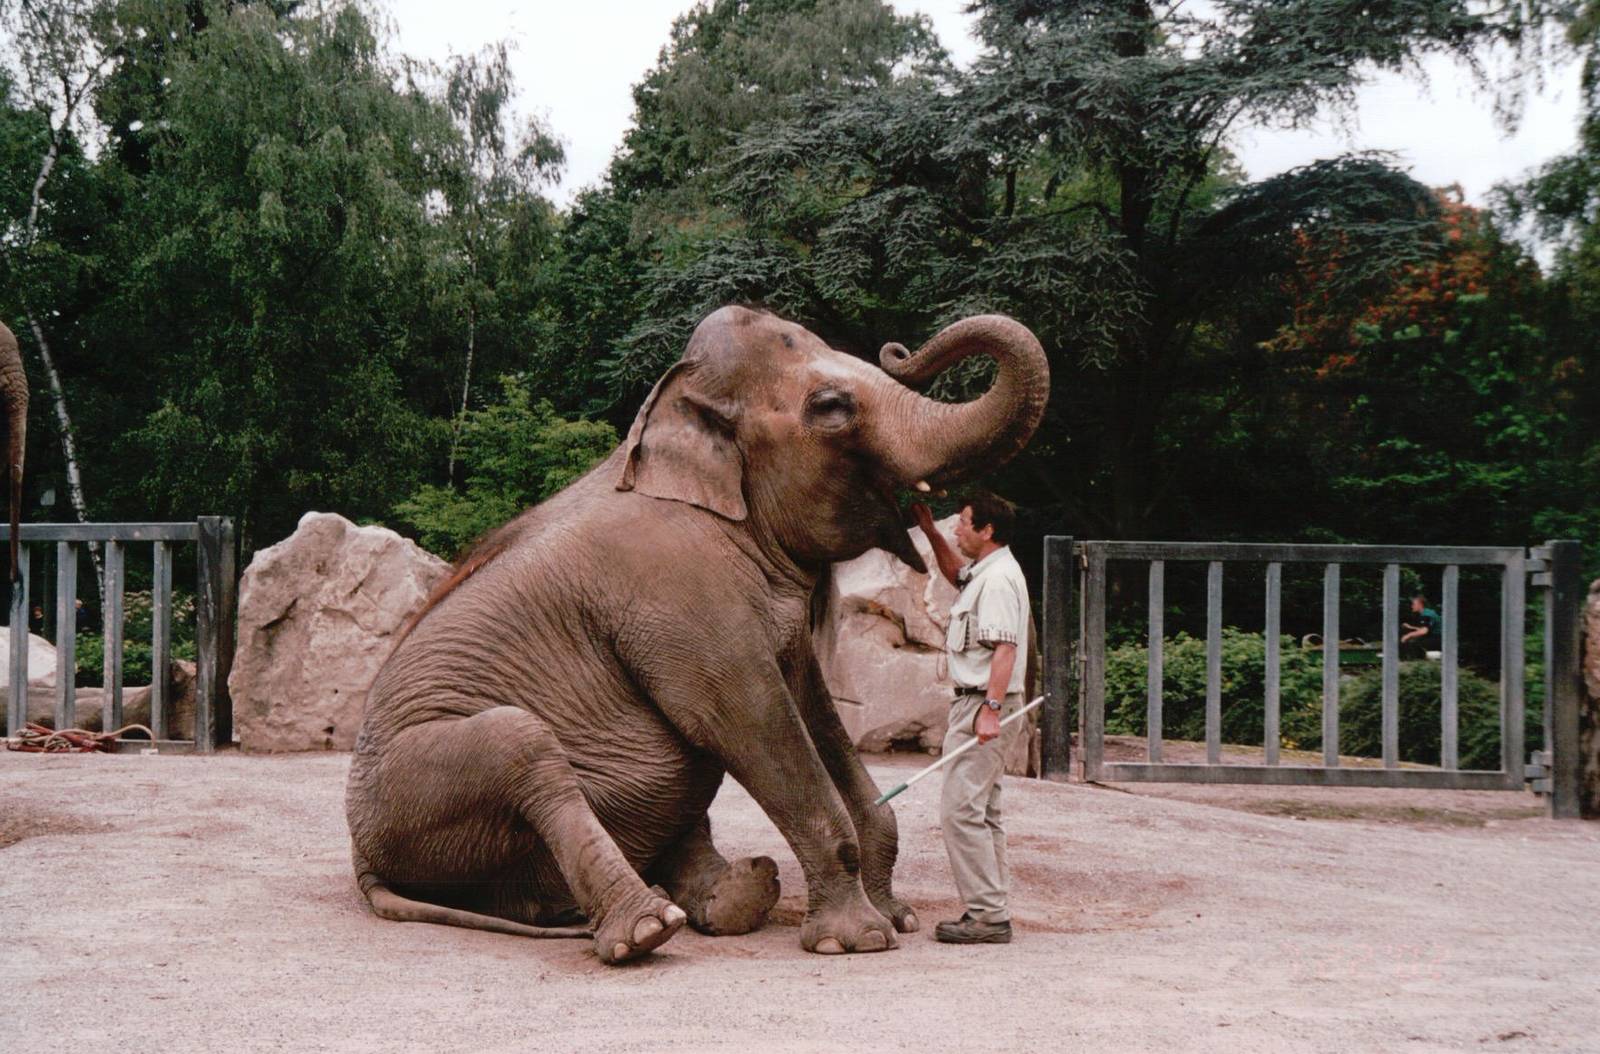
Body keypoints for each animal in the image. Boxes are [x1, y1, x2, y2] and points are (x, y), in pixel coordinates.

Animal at [344, 305, 1049, 964]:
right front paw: (858, 940)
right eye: (831, 407)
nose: (898, 348)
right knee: (520, 742)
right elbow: (743, 716)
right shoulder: (679, 595)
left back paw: (737, 892)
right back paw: (647, 929)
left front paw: (897, 916)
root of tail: (364, 864)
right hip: (411, 796)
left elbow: (812, 709)